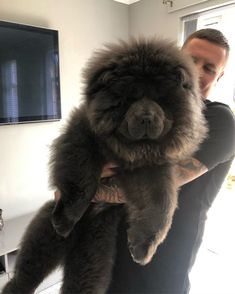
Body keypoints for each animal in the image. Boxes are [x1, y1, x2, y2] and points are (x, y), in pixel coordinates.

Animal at [1, 38, 207, 292]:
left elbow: (160, 202)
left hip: (93, 250)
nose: (146, 118)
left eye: (160, 98)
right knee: (24, 273)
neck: (128, 148)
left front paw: (142, 248)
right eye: (130, 99)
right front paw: (67, 218)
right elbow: (82, 179)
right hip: (45, 238)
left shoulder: (150, 170)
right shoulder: (82, 136)